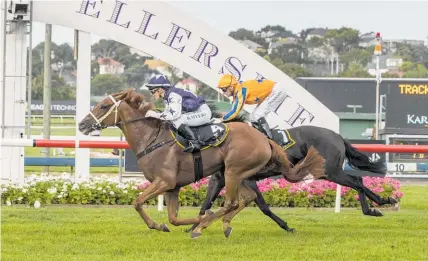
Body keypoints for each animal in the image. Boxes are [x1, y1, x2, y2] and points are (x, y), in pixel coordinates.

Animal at [77, 88, 324, 237]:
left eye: (103, 106)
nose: (81, 124)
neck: (152, 139)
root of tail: (265, 139)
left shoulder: (164, 182)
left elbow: (137, 202)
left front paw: (186, 222)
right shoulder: (173, 187)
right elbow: (173, 219)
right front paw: (169, 224)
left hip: (233, 171)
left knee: (232, 202)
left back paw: (204, 225)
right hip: (239, 174)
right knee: (246, 199)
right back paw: (221, 224)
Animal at [186, 124, 398, 232]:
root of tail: (337, 135)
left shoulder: (245, 178)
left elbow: (263, 207)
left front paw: (286, 226)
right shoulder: (219, 178)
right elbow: (206, 202)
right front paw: (194, 226)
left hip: (329, 171)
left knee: (357, 182)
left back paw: (377, 206)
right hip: (331, 170)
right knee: (359, 181)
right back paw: (380, 203)